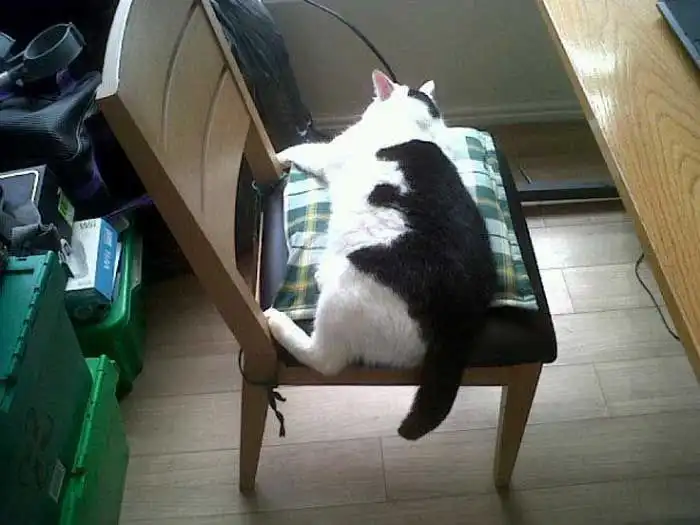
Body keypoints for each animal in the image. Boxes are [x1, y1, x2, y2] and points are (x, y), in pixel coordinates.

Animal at [264, 70, 497, 440]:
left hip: (346, 292)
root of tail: (461, 312)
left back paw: (279, 319)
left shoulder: (328, 154)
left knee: (325, 359)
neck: (415, 122)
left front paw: (278, 155)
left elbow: (300, 149)